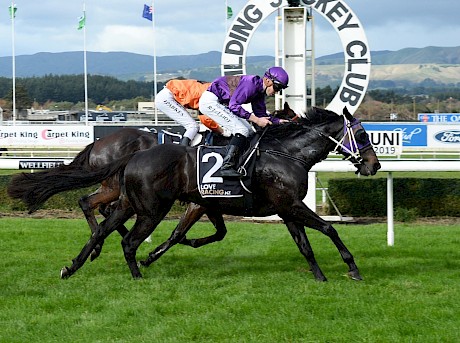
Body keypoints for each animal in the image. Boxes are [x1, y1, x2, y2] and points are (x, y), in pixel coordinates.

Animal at [54, 107, 380, 282]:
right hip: (150, 209)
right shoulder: (289, 204)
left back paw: (72, 266)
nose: (374, 165)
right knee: (125, 238)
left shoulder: (285, 208)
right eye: (363, 134)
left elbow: (305, 245)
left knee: (100, 226)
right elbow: (329, 228)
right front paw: (352, 268)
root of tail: (132, 156)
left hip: (128, 202)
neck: (286, 153)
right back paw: (134, 274)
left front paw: (320, 276)